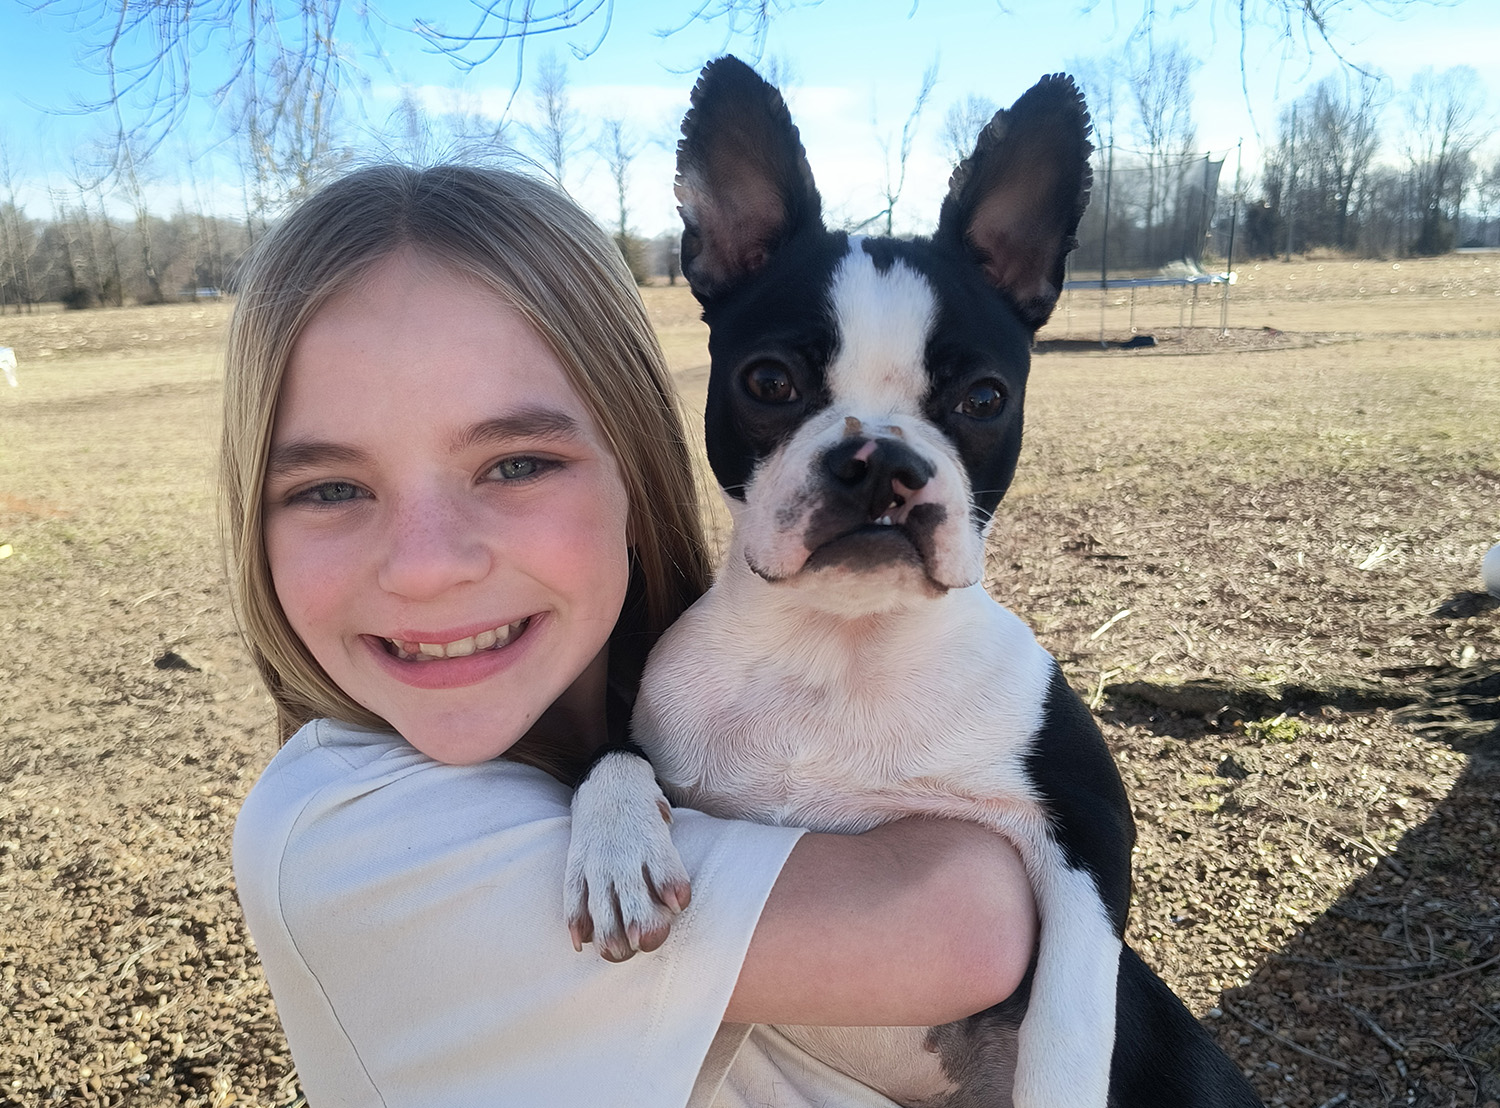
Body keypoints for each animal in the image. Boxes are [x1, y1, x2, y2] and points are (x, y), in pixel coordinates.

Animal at [567, 58, 1260, 1108]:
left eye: (984, 398)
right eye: (768, 381)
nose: (881, 461)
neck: (839, 648)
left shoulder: (1087, 834)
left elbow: (1065, 1033)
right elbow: (609, 750)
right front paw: (617, 848)